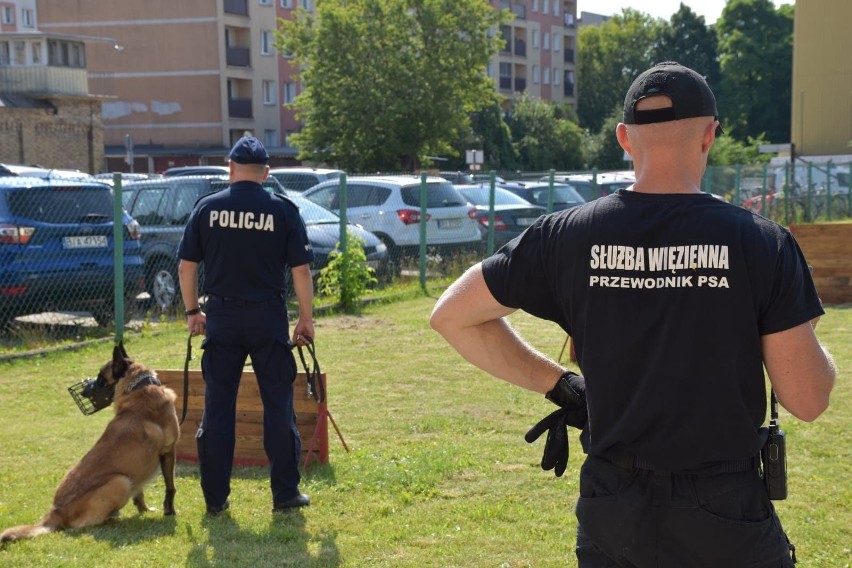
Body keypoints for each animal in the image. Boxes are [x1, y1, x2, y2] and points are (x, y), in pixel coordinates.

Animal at [0, 342, 178, 540]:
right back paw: (118, 522)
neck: (139, 387)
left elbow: (139, 494)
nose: (84, 392)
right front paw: (169, 511)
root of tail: (56, 512)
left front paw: (145, 510)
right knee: (91, 524)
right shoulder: (168, 451)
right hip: (120, 481)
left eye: (100, 379)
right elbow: (170, 487)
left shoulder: (138, 469)